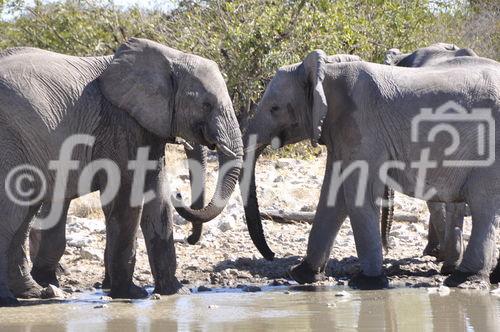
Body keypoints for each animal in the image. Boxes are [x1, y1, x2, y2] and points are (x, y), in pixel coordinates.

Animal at [0, 37, 242, 306]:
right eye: (206, 105)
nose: (180, 194)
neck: (170, 56)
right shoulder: (119, 123)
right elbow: (128, 198)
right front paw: (130, 294)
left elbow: (158, 199)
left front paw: (175, 293)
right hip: (9, 140)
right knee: (12, 213)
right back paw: (9, 299)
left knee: (22, 217)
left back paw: (31, 292)